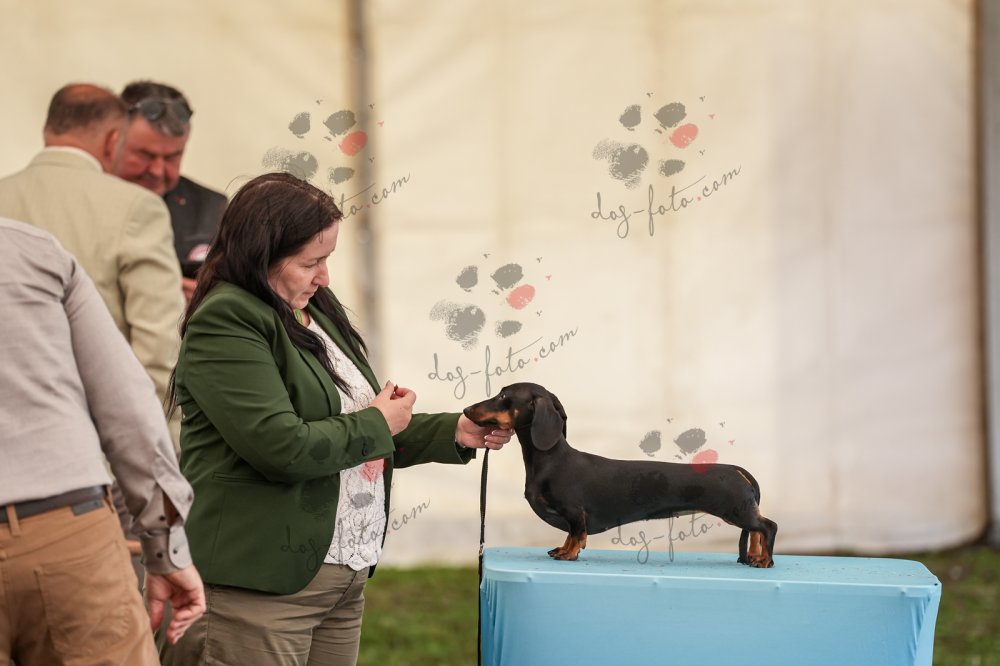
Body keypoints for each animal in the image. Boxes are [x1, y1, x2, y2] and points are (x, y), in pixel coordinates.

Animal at [464, 382, 777, 567]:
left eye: (504, 396)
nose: (465, 410)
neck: (552, 460)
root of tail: (736, 470)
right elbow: (569, 535)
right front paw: (561, 549)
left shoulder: (575, 512)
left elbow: (576, 535)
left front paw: (569, 554)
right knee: (757, 531)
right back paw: (754, 557)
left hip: (736, 510)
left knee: (768, 527)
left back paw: (764, 560)